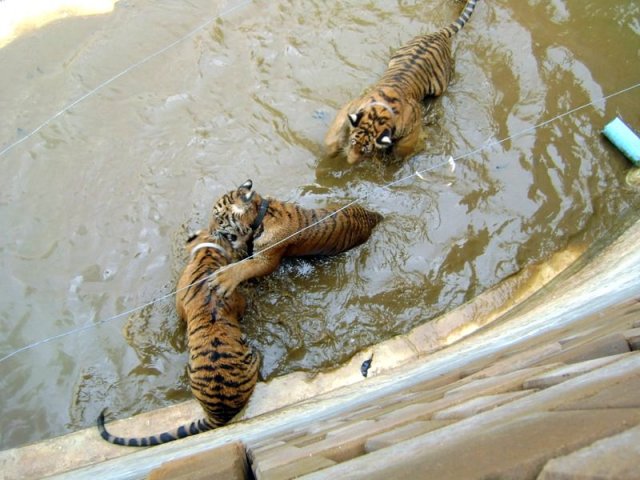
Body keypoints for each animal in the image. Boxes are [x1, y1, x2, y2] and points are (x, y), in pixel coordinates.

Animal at [208, 179, 382, 296]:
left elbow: (244, 267)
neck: (261, 216)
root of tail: (371, 215)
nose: (209, 231)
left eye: (218, 219)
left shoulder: (267, 260)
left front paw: (222, 278)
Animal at [324, 0, 480, 165]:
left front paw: (394, 159)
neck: (379, 113)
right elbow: (337, 127)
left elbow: (404, 146)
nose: (350, 161)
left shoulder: (414, 124)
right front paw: (331, 149)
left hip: (440, 85)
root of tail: (438, 34)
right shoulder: (352, 105)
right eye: (353, 142)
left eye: (366, 151)